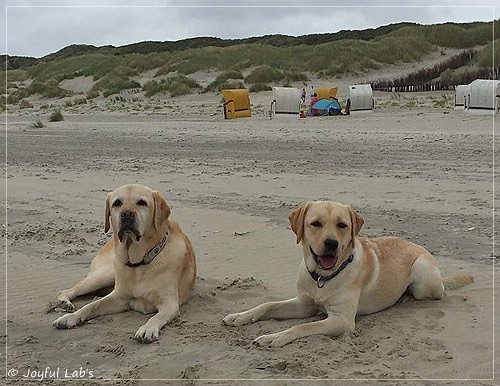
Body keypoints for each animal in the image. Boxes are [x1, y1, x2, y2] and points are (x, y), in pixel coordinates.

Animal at [52, 185, 196, 344]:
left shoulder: (169, 304)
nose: (127, 214)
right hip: (105, 274)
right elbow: (92, 305)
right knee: (68, 290)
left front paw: (147, 329)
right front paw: (71, 317)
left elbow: (156, 317)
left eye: (142, 202)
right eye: (117, 203)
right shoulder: (119, 297)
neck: (139, 263)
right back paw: (65, 303)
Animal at [223, 201, 472, 348]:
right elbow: (268, 305)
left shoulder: (341, 320)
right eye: (315, 223)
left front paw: (275, 337)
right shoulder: (304, 304)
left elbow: (302, 327)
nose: (331, 243)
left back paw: (407, 297)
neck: (322, 278)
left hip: (422, 274)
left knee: (436, 293)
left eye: (342, 225)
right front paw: (240, 316)